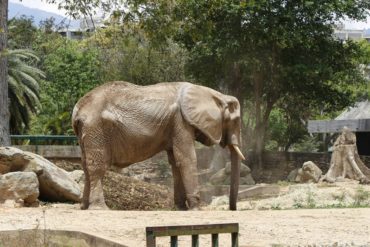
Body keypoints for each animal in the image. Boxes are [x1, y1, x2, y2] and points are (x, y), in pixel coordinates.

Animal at [72, 81, 246, 210]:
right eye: (235, 121)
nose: (232, 209)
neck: (216, 94)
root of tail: (78, 110)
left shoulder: (174, 125)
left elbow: (175, 161)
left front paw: (180, 208)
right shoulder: (181, 122)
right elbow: (187, 159)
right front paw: (196, 208)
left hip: (86, 131)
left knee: (85, 166)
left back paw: (84, 207)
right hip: (96, 128)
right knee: (97, 167)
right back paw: (100, 208)